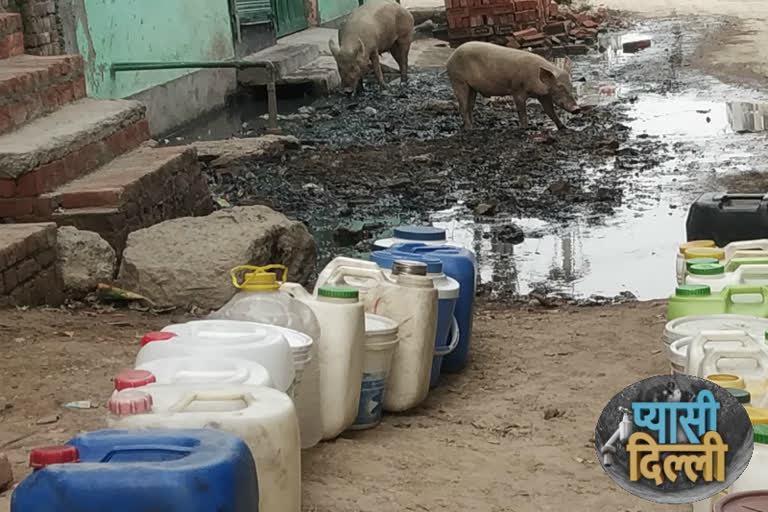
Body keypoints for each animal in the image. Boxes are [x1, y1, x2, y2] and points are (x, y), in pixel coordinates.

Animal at [444, 41, 584, 131]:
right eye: (559, 87)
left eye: (570, 86)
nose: (577, 109)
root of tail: (450, 58)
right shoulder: (517, 90)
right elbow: (522, 110)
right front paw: (526, 128)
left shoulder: (544, 95)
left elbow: (550, 111)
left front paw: (564, 127)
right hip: (458, 81)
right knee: (462, 107)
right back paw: (469, 129)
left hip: (472, 88)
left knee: (469, 107)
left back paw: (475, 127)